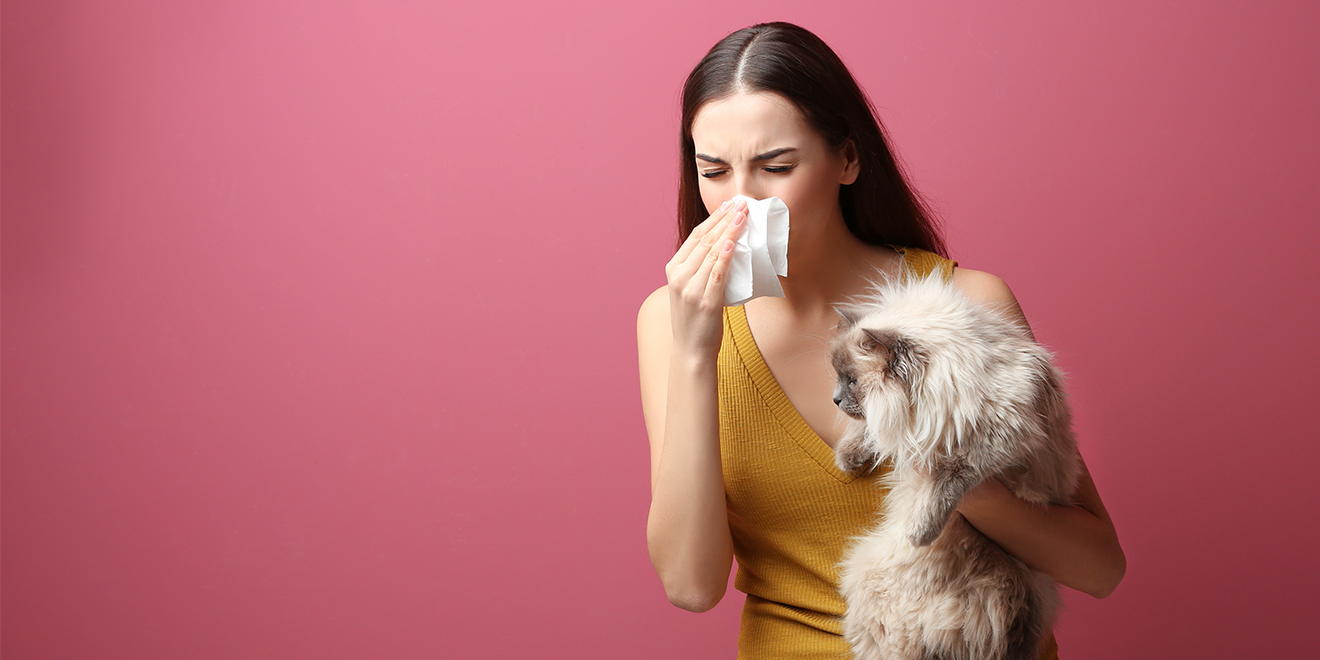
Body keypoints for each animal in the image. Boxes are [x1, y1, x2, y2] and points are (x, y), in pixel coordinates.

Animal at [828, 271, 1077, 660]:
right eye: (839, 378)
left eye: (852, 381)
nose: (835, 399)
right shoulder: (911, 423)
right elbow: (874, 429)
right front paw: (849, 457)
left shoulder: (997, 438)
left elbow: (946, 480)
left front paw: (920, 530)